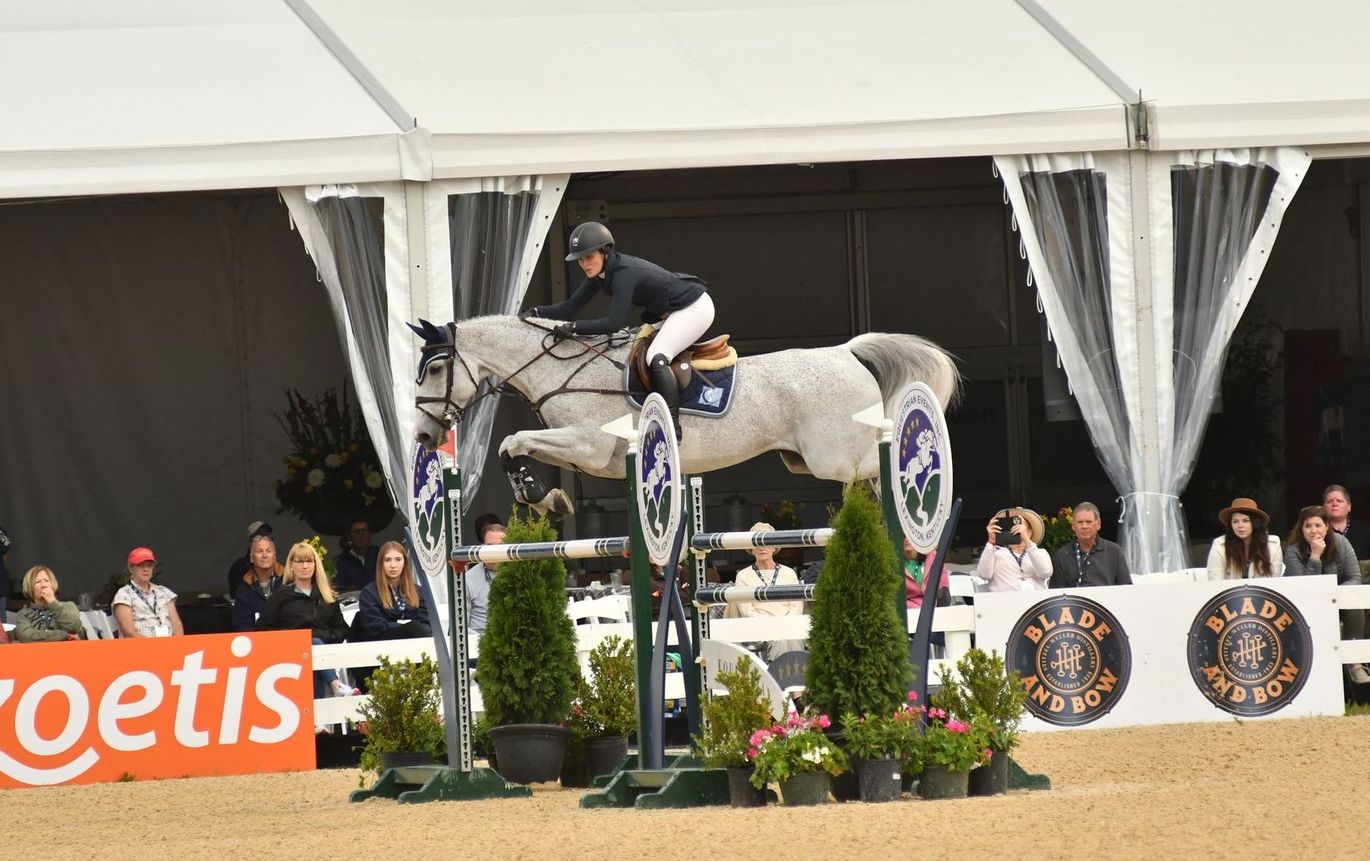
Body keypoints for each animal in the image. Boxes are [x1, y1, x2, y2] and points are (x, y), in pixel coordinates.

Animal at [411, 316, 959, 518]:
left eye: (436, 368)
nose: (423, 435)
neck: (561, 368)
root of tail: (847, 352)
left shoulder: (589, 444)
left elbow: (513, 442)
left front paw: (537, 494)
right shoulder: (588, 453)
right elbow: (515, 446)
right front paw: (543, 497)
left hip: (833, 457)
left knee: (882, 458)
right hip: (804, 460)